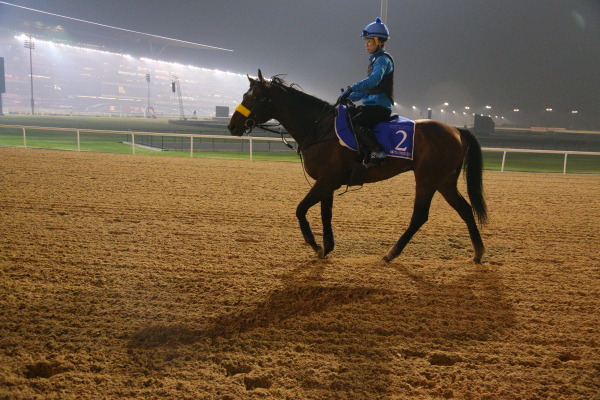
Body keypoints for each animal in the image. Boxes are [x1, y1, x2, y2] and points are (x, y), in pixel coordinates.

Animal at [227, 70, 486, 264]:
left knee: (420, 215)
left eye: (254, 98)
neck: (320, 130)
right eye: (244, 95)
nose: (232, 126)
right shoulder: (327, 183)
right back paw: (478, 252)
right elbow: (326, 214)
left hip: (427, 179)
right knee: (464, 209)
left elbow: (301, 209)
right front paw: (327, 247)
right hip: (444, 181)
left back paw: (391, 253)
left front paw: (314, 244)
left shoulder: (327, 181)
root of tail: (456, 130)